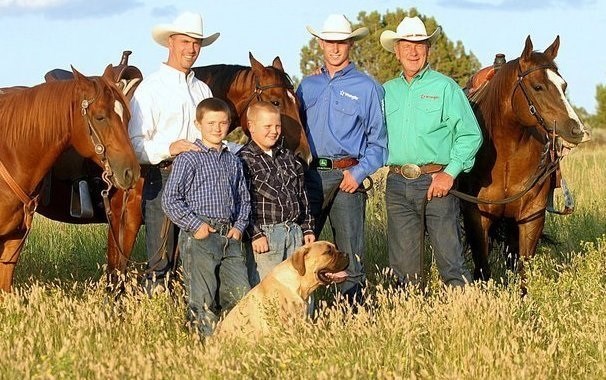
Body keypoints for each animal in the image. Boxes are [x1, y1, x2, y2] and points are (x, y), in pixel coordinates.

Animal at [0, 64, 140, 290]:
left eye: (128, 117)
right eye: (100, 117)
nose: (130, 172)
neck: (9, 154)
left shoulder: (14, 240)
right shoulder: (127, 218)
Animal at [458, 37, 592, 290]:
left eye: (564, 86)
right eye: (538, 86)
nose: (577, 130)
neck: (506, 156)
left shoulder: (532, 215)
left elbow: (523, 270)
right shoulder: (477, 217)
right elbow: (482, 270)